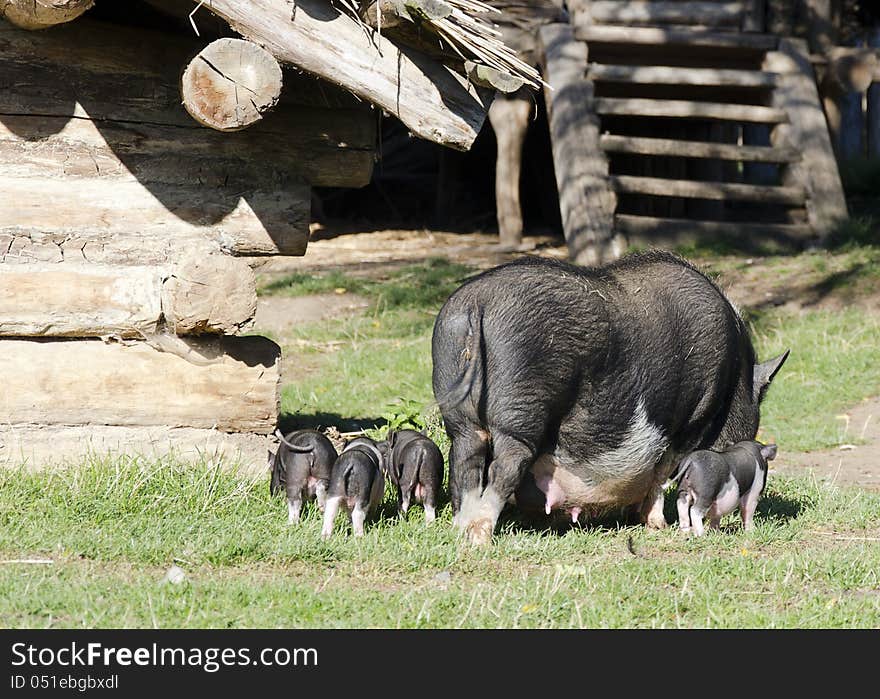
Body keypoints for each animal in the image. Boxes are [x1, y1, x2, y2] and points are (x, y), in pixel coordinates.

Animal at [434, 253, 792, 548]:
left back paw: (461, 529)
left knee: (465, 460)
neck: (732, 384)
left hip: (458, 410)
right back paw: (480, 538)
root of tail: (477, 303)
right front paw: (657, 525)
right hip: (521, 408)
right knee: (505, 464)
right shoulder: (688, 423)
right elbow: (662, 474)